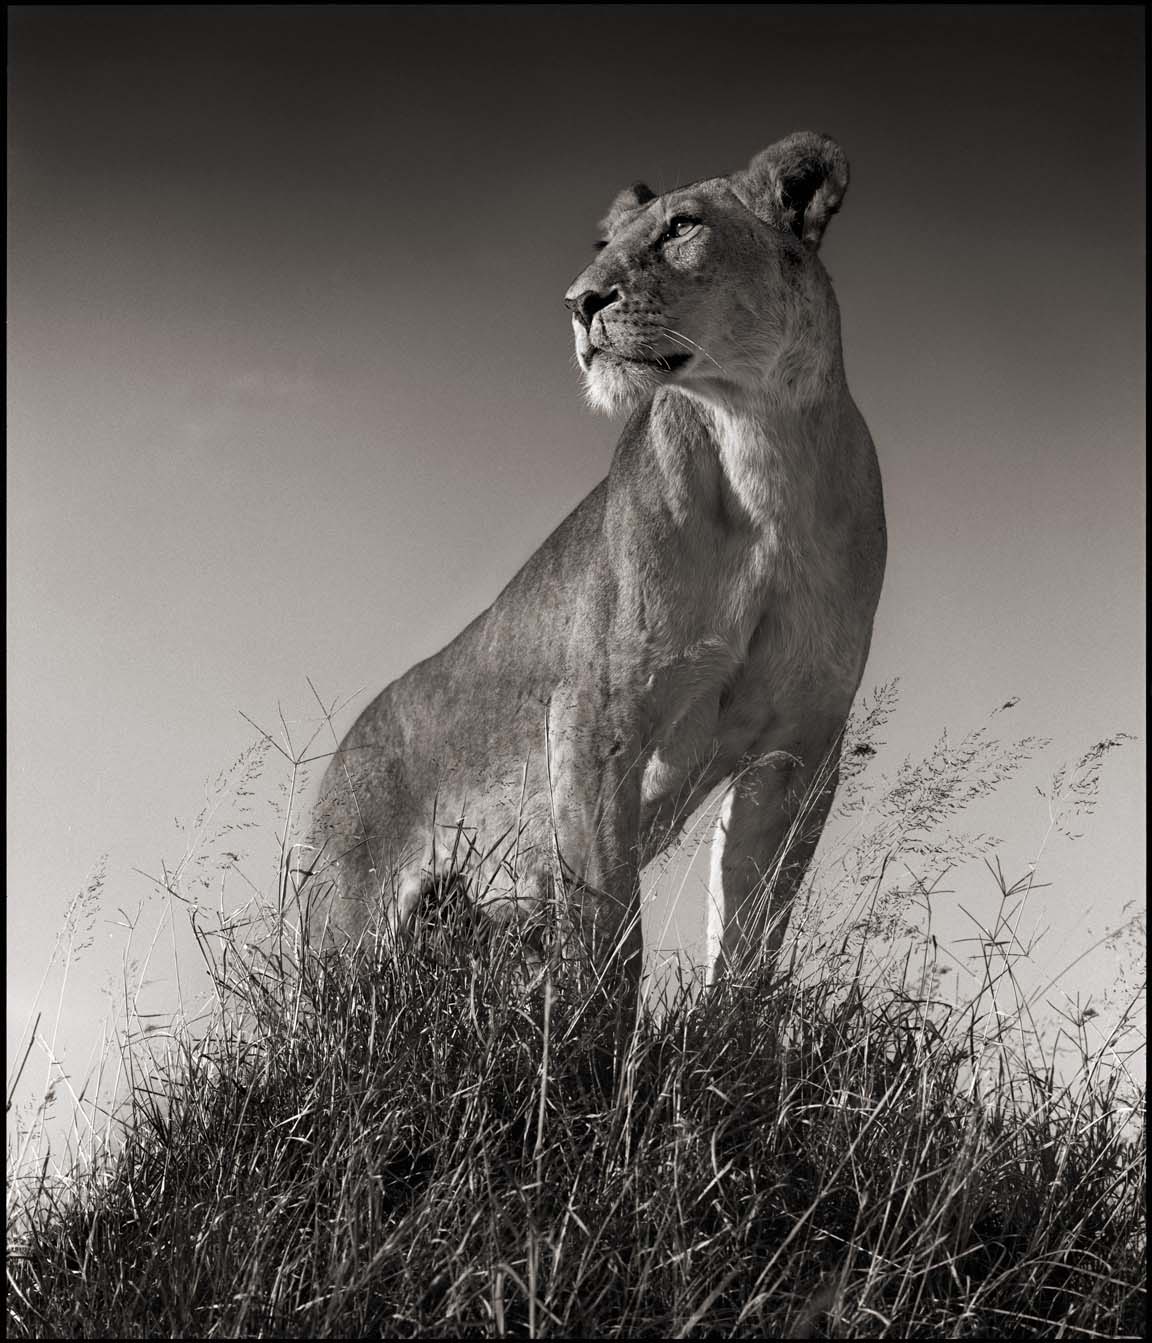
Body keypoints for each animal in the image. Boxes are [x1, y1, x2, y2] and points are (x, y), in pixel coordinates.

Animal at [301, 130, 886, 1002]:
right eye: (604, 243)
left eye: (682, 226)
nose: (580, 302)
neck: (761, 450)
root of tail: (346, 750)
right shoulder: (594, 717)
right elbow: (613, 928)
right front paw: (601, 1034)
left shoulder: (801, 746)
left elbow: (750, 937)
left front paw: (728, 1026)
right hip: (347, 937)